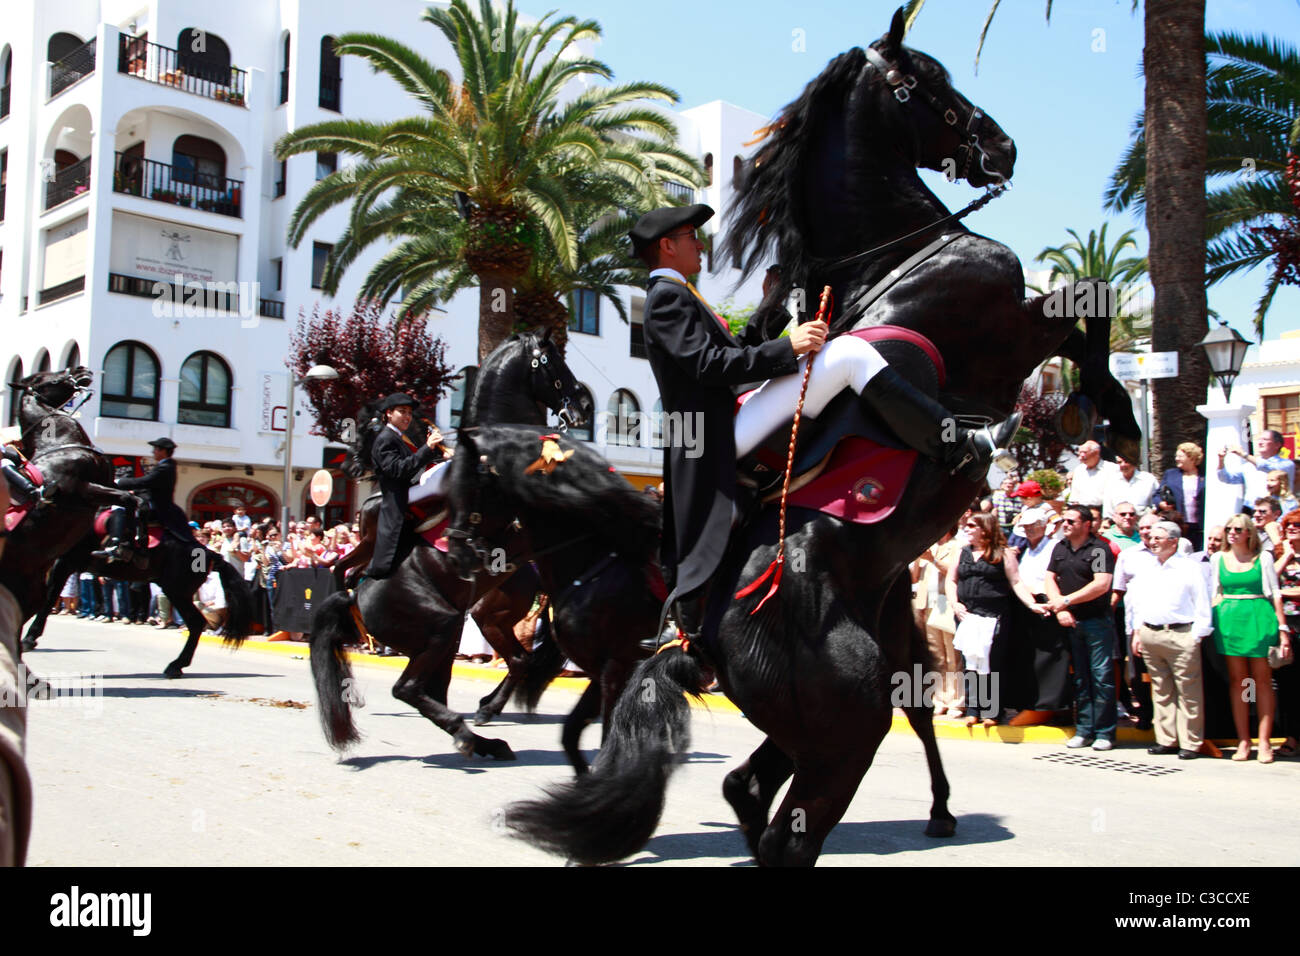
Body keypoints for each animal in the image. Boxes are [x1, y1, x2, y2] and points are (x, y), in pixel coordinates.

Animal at [491, 11, 1144, 868]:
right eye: (926, 81)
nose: (1001, 148)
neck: (906, 253)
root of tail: (695, 639)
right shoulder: (1007, 329)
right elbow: (1088, 303)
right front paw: (1107, 417)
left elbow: (1085, 315)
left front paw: (1098, 417)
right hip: (848, 726)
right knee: (786, 822)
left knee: (755, 792)